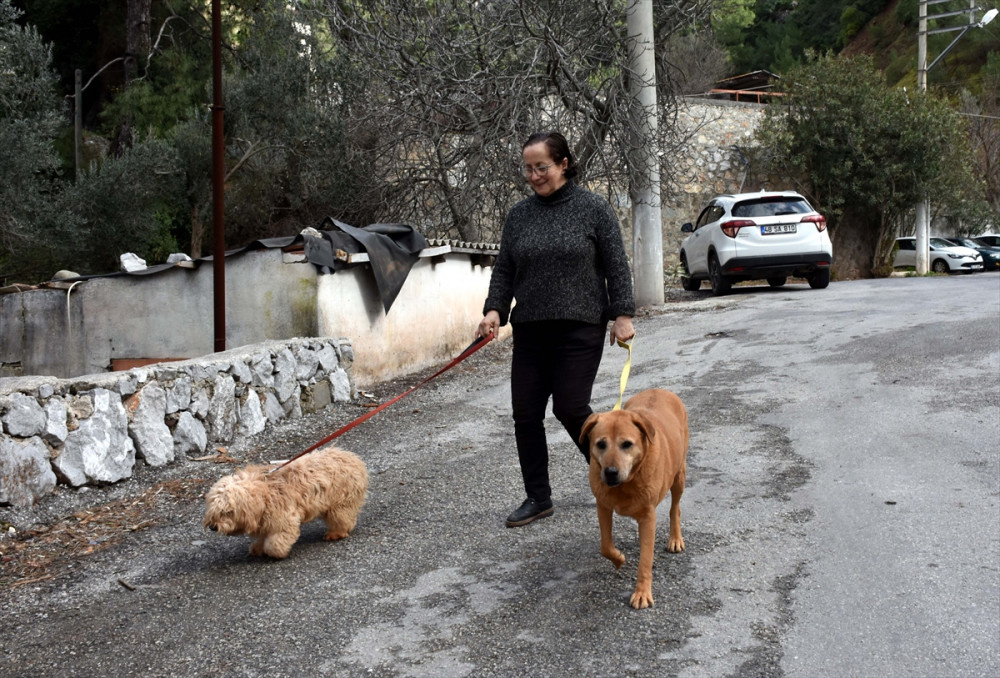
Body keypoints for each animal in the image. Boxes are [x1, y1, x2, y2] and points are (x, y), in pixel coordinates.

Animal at [202, 444, 368, 560]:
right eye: (214, 510)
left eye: (227, 512)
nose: (213, 527)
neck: (264, 492)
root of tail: (353, 458)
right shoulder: (264, 520)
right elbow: (263, 536)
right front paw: (258, 548)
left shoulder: (284, 518)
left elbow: (276, 541)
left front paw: (275, 552)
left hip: (341, 502)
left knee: (342, 519)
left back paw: (336, 533)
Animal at [580, 388, 688, 612]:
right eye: (601, 444)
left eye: (627, 444)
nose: (610, 472)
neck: (626, 483)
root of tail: (660, 389)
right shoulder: (602, 506)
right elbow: (605, 545)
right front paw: (618, 559)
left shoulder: (647, 517)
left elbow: (645, 560)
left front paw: (642, 593)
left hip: (679, 476)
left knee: (675, 508)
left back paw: (675, 539)